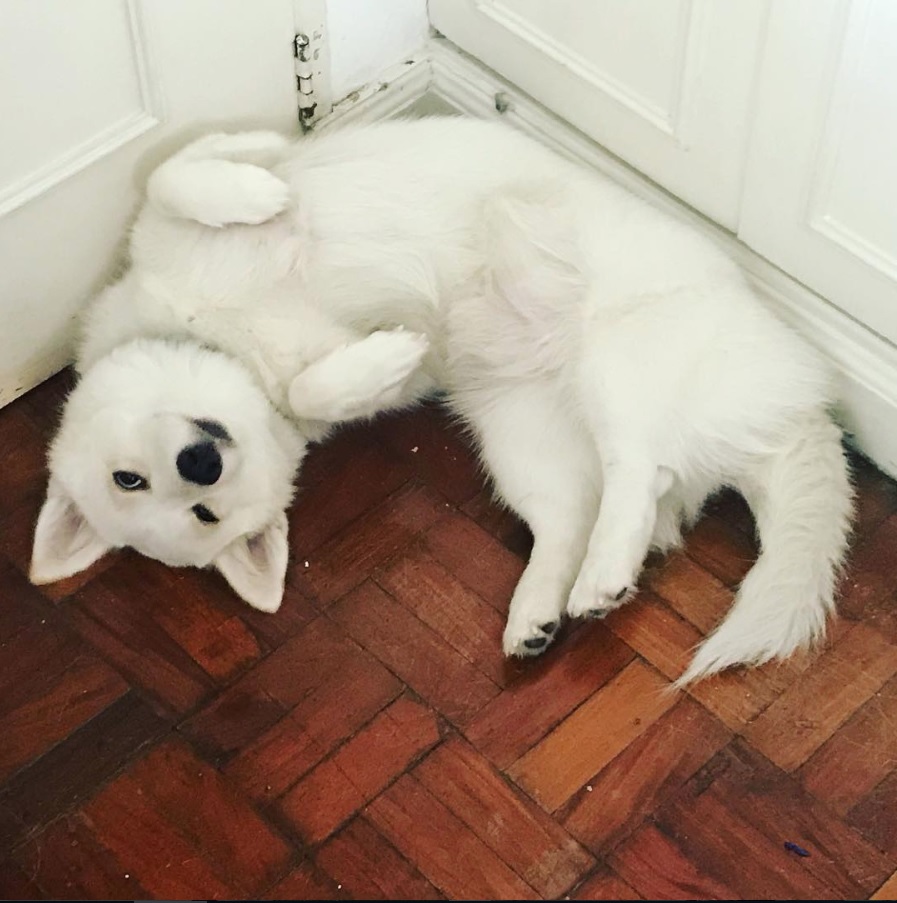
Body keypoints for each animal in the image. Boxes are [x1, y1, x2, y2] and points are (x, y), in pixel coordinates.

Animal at [29, 120, 856, 684]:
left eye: (128, 478)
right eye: (190, 510)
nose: (201, 463)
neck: (223, 337)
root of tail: (788, 413)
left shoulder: (183, 204)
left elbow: (174, 170)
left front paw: (257, 184)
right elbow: (314, 383)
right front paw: (383, 354)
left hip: (612, 357)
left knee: (637, 464)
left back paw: (593, 577)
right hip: (521, 438)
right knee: (602, 504)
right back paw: (552, 606)